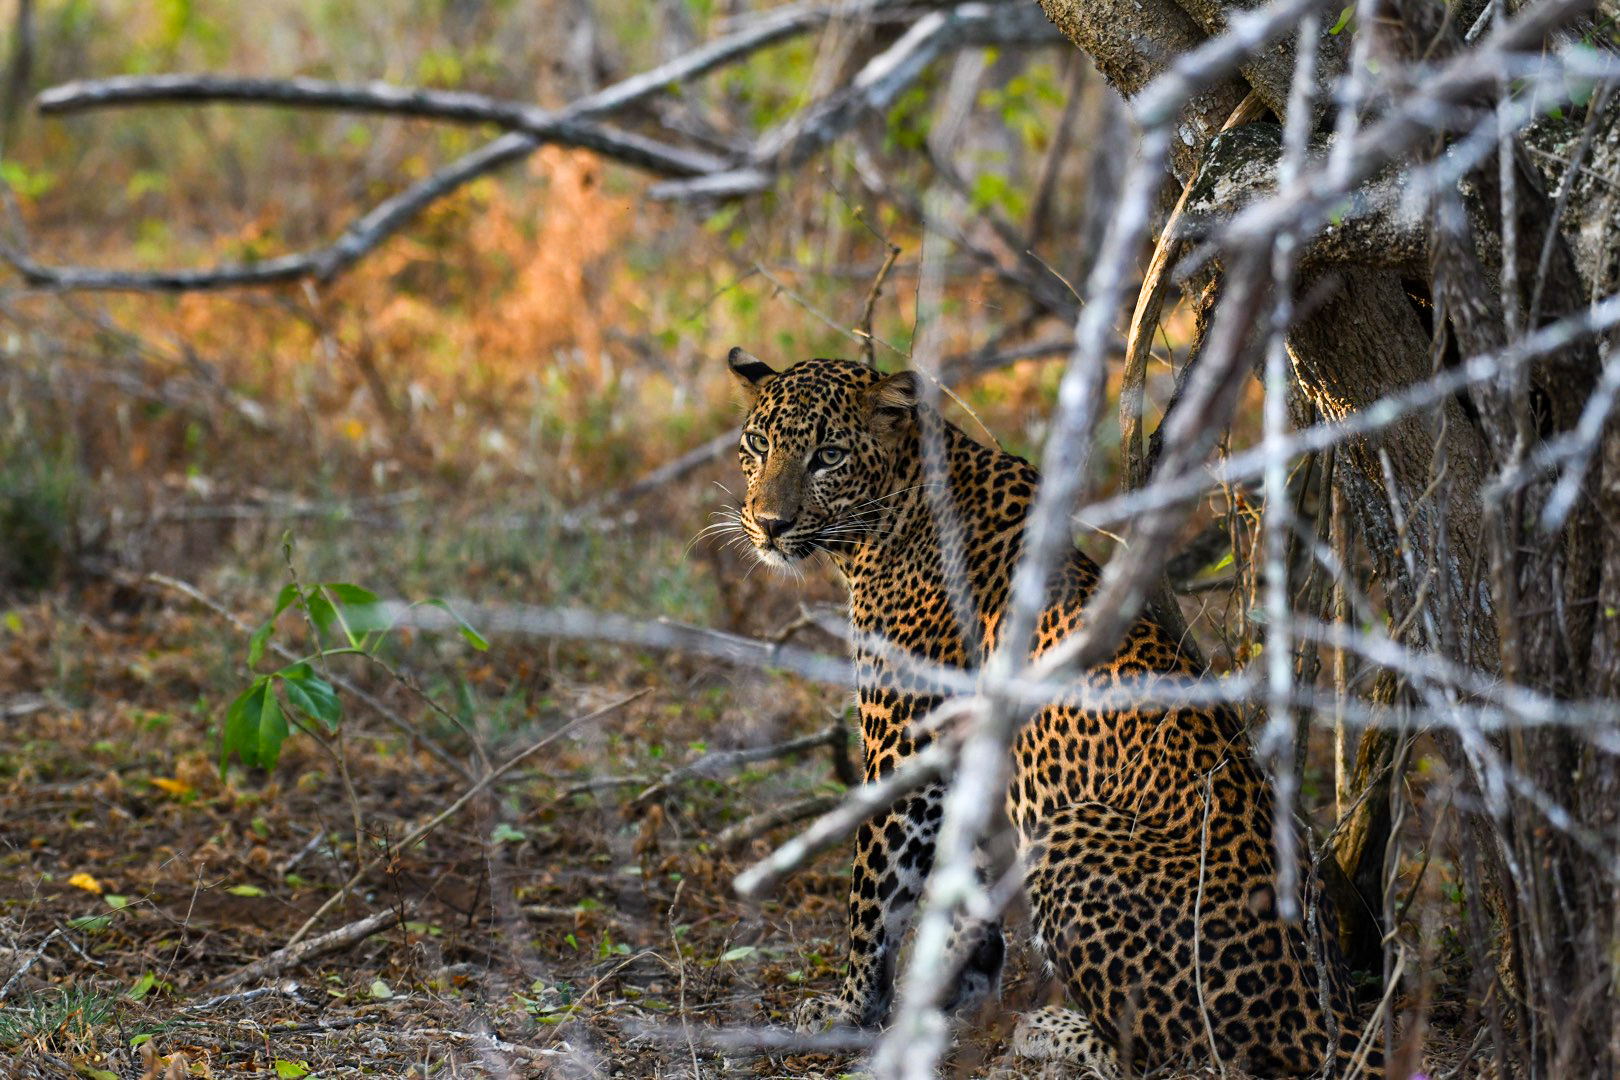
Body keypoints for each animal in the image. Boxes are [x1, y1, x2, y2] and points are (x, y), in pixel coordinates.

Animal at [723, 348, 1386, 1078]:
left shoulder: (903, 747)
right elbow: (965, 877)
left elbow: (876, 893)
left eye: (828, 456)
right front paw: (960, 987)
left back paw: (1051, 1031)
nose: (769, 525)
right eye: (757, 446)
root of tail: (1327, 1015)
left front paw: (848, 1010)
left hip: (1069, 832)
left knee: (1165, 1055)